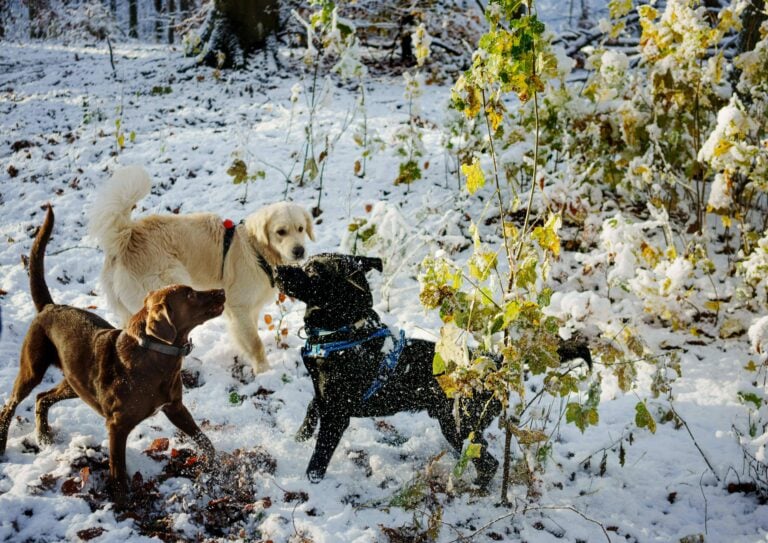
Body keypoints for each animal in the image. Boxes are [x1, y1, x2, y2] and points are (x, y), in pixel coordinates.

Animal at [0, 205, 226, 506]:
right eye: (189, 295)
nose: (222, 291)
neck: (154, 355)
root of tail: (50, 307)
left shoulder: (176, 408)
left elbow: (204, 440)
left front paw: (216, 467)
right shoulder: (117, 426)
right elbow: (117, 468)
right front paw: (123, 501)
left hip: (75, 383)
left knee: (42, 397)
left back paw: (45, 436)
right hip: (32, 369)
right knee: (10, 405)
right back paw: (4, 444)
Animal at [280, 255, 592, 488]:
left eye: (312, 270)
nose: (278, 268)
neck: (343, 333)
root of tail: (493, 363)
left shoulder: (337, 414)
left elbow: (319, 457)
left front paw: (310, 482)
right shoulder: (322, 398)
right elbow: (309, 417)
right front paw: (294, 442)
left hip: (458, 425)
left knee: (489, 463)